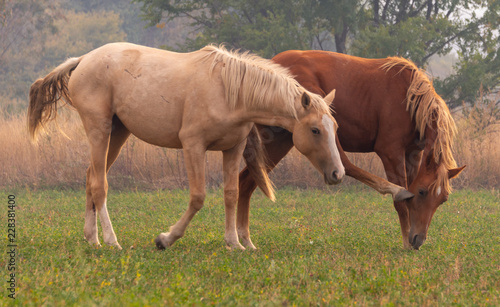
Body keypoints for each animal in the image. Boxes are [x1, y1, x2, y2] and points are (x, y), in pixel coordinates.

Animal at [28, 42, 348, 250]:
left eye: (334, 128)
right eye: (315, 130)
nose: (338, 174)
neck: (230, 91)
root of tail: (82, 60)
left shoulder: (232, 149)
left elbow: (231, 195)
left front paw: (234, 243)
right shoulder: (193, 146)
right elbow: (198, 197)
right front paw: (165, 239)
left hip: (118, 134)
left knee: (90, 177)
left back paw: (91, 238)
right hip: (100, 130)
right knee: (99, 185)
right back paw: (110, 240)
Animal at [237, 50, 464, 251]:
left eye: (443, 199)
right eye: (423, 192)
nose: (418, 240)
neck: (410, 99)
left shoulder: (413, 154)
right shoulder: (391, 152)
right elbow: (402, 200)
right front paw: (406, 241)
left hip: (280, 142)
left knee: (246, 182)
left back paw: (244, 240)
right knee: (345, 164)